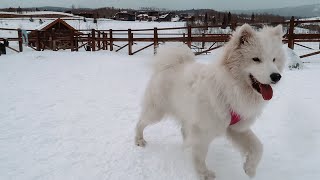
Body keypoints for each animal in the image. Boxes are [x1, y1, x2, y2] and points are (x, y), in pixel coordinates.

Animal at [134, 24, 284, 180]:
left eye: (274, 59)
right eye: (256, 59)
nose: (276, 76)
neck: (228, 87)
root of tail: (168, 64)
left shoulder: (236, 127)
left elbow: (258, 146)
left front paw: (250, 169)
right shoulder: (203, 131)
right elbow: (200, 156)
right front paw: (204, 174)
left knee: (183, 130)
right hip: (156, 111)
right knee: (140, 122)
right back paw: (139, 140)